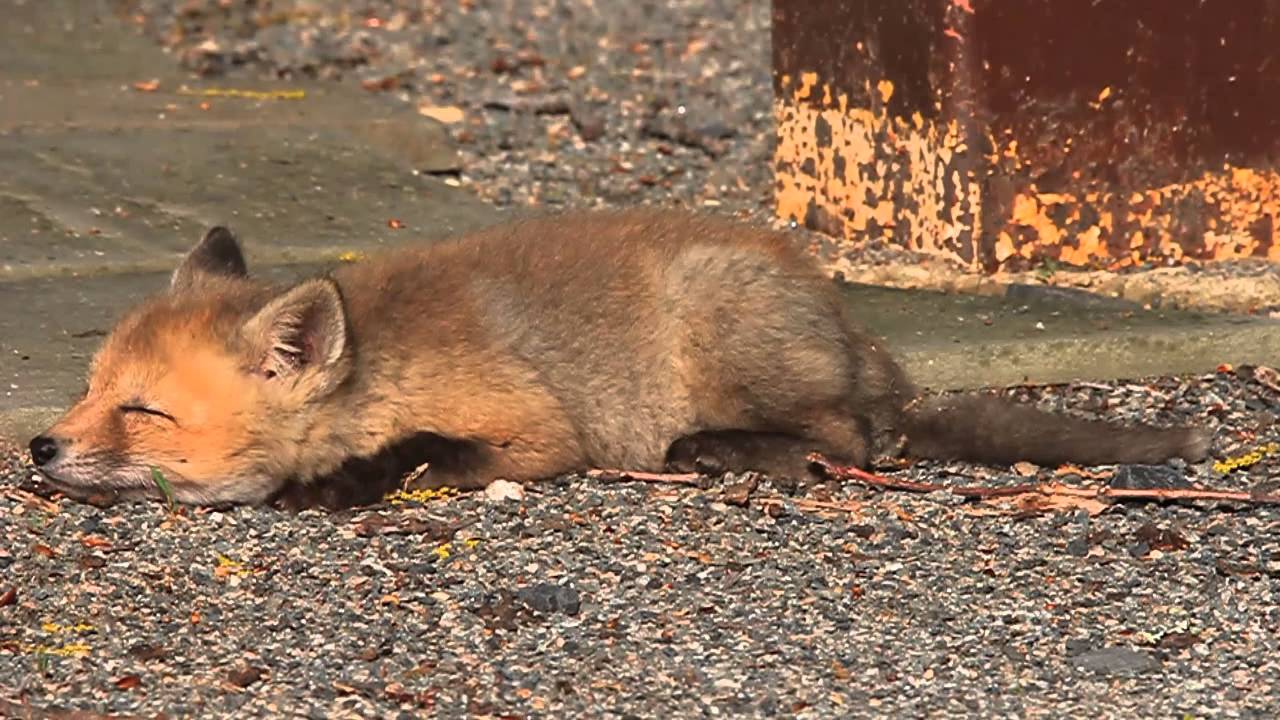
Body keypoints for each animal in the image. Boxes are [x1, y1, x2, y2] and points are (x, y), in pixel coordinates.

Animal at [28, 208, 1210, 508]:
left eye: (143, 412)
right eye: (89, 392)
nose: (37, 448)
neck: (383, 368)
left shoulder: (536, 428)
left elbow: (427, 451)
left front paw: (342, 482)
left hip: (723, 341)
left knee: (846, 438)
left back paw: (722, 453)